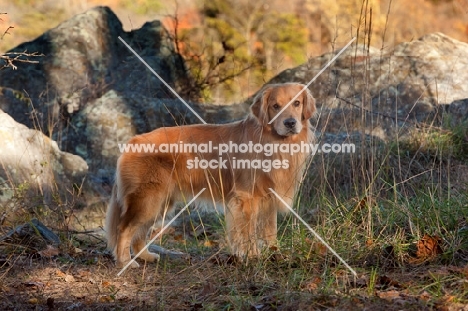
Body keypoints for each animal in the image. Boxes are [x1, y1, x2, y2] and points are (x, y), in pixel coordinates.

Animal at [105, 83, 316, 268]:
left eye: (297, 103)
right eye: (275, 106)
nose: (290, 123)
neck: (273, 141)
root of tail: (132, 142)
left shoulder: (269, 198)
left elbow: (270, 232)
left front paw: (276, 255)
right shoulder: (246, 198)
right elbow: (248, 233)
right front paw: (253, 256)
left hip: (160, 202)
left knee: (139, 233)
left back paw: (147, 256)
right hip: (147, 200)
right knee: (124, 230)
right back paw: (125, 262)